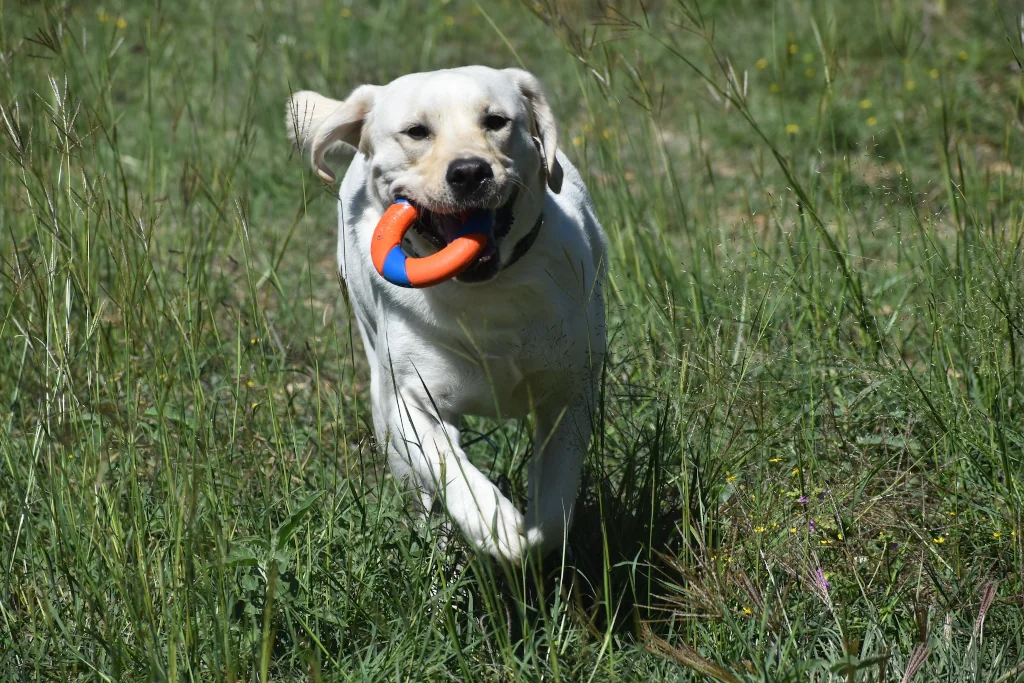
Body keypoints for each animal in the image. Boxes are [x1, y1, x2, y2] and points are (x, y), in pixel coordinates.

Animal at [286, 66, 606, 565]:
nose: (470, 171)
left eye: (496, 121)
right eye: (417, 132)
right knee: (422, 495)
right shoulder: (409, 403)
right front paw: (492, 521)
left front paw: (531, 538)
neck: (486, 294)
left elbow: (555, 500)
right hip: (383, 409)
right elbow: (446, 464)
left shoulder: (570, 390)